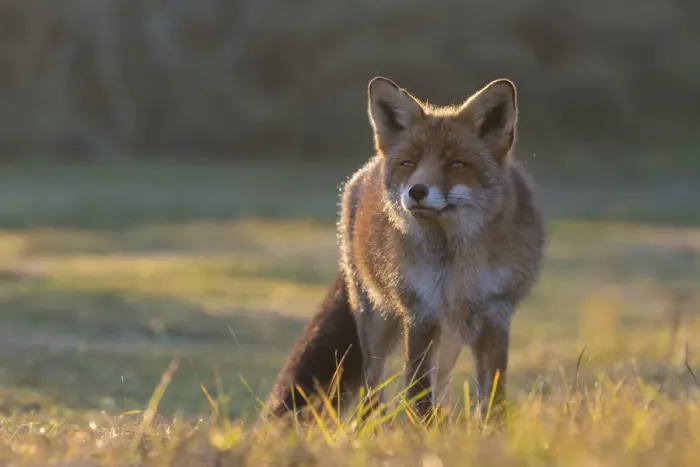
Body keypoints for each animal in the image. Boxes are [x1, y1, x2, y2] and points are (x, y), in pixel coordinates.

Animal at [257, 77, 545, 425]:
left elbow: (492, 397)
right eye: (409, 163)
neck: (453, 267)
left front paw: (490, 431)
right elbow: (417, 392)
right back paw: (370, 428)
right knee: (372, 386)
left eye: (457, 164)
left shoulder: (495, 316)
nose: (417, 191)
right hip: (375, 320)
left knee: (440, 382)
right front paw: (423, 432)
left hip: (449, 336)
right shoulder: (420, 314)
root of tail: (366, 169)